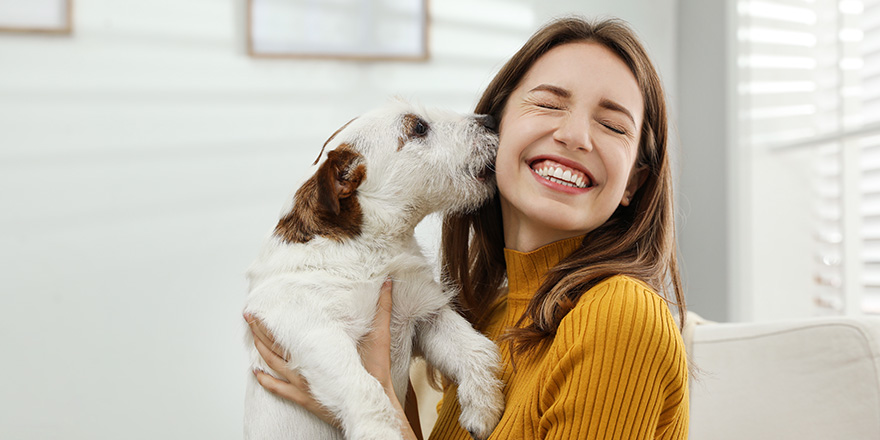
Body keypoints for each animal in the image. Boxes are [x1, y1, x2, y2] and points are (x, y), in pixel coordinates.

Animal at [244, 99, 506, 440]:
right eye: (418, 127)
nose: (490, 120)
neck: (372, 250)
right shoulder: (315, 330)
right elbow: (364, 388)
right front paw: (381, 431)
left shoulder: (425, 315)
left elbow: (476, 349)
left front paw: (483, 406)